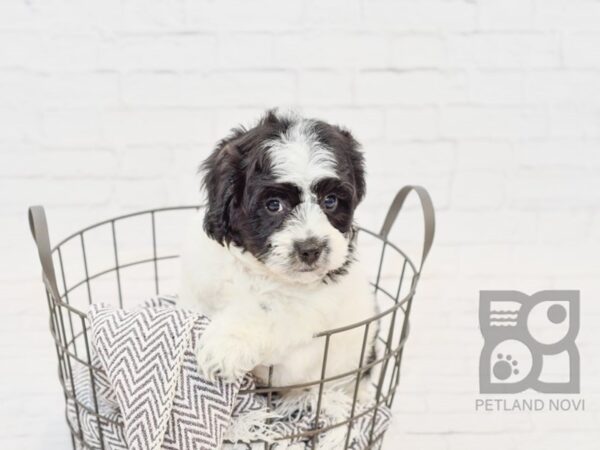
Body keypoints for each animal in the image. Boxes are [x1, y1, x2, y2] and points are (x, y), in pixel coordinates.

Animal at [176, 109, 378, 390]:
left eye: (330, 201)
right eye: (274, 205)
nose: (310, 249)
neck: (257, 271)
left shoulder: (306, 306)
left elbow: (265, 310)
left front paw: (225, 345)